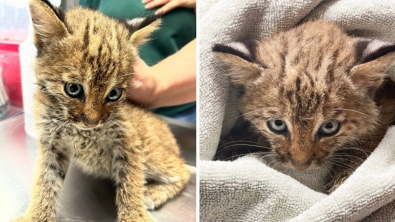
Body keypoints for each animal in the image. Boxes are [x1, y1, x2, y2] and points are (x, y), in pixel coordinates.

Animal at [13, 0, 190, 221]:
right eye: (73, 89)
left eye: (114, 94)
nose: (91, 122)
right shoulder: (52, 143)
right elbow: (45, 180)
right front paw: (37, 216)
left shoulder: (129, 140)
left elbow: (130, 181)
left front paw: (134, 216)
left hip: (151, 155)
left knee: (183, 169)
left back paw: (154, 193)